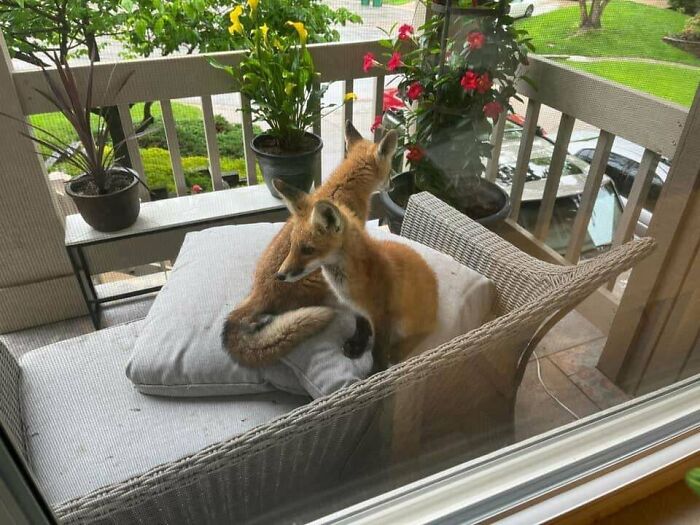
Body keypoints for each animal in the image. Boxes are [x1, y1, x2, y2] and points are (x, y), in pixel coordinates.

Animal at [275, 187, 439, 371]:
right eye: (292, 245)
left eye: (307, 250)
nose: (279, 275)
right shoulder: (357, 308)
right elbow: (360, 327)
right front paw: (357, 345)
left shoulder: (382, 315)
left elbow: (378, 350)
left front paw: (377, 372)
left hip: (405, 322)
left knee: (424, 332)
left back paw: (398, 350)